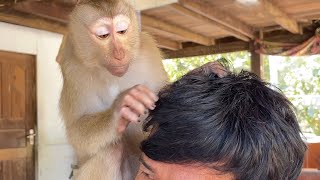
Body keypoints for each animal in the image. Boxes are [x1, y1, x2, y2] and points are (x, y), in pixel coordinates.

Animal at [58, 0, 168, 179]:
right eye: (103, 35)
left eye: (121, 31)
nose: (119, 54)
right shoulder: (72, 67)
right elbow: (76, 133)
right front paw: (121, 108)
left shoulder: (149, 50)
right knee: (111, 151)